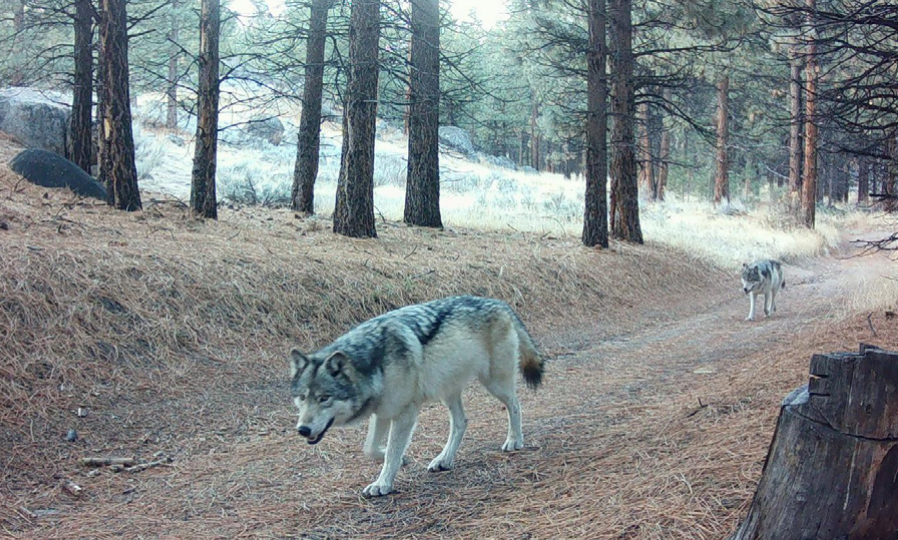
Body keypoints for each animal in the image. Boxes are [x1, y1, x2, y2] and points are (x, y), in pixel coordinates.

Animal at [288, 296, 544, 497]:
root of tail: (499, 303)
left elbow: (392, 451)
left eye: (324, 397)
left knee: (515, 405)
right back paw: (444, 460)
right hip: (448, 391)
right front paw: (401, 460)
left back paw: (514, 440)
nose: (302, 430)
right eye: (302, 397)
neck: (374, 363)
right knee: (461, 422)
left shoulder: (404, 413)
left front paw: (382, 483)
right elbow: (371, 448)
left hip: (494, 383)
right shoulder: (383, 412)